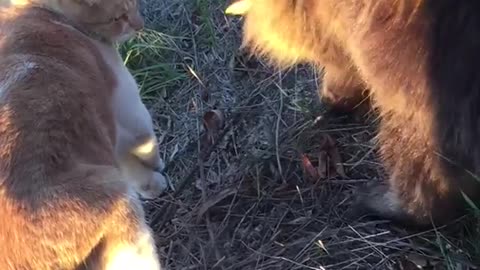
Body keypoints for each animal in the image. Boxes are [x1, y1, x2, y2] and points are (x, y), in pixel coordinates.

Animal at [0, 1, 163, 268]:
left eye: (135, 5)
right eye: (119, 17)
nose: (140, 25)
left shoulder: (108, 134)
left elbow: (132, 170)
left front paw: (151, 185)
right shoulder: (127, 107)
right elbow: (146, 142)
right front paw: (158, 169)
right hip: (122, 213)